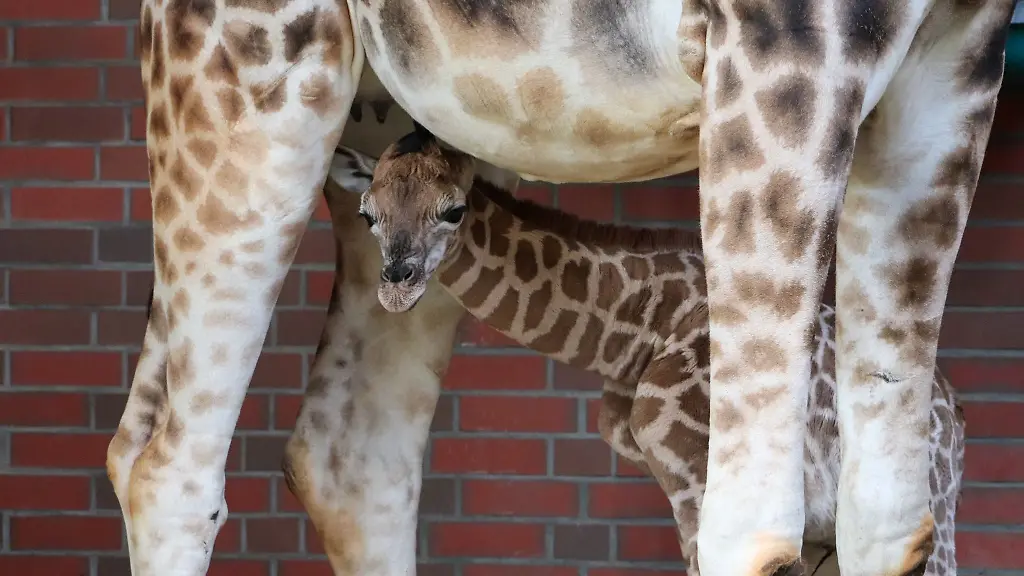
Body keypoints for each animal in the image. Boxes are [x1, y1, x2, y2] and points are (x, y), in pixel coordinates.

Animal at [331, 139, 966, 576]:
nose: (396, 285)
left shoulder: (698, 476)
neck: (637, 333)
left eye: (454, 210)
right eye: (366, 213)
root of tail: (956, 415)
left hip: (923, 511)